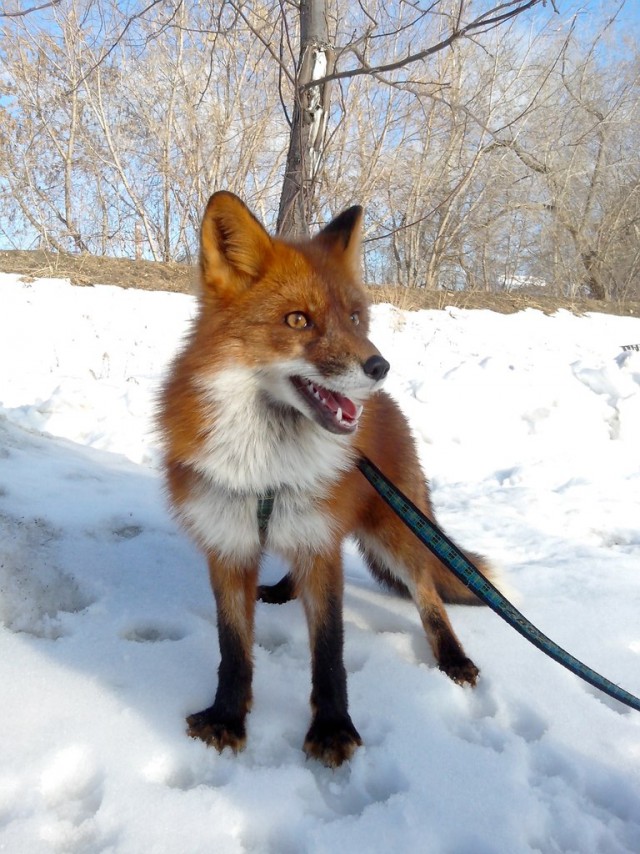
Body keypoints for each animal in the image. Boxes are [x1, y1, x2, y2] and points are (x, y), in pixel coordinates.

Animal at [159, 192, 490, 768]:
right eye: (298, 320)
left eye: (355, 317)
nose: (379, 367)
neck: (268, 465)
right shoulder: (230, 545)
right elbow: (232, 649)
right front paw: (227, 718)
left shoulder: (319, 543)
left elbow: (329, 650)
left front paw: (333, 729)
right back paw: (283, 590)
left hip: (393, 532)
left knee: (427, 590)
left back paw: (452, 657)